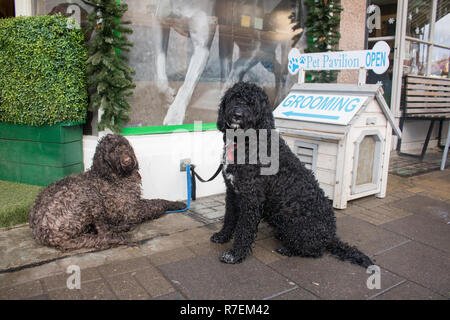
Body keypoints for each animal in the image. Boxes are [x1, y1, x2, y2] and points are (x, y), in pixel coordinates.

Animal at [29, 134, 185, 251]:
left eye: (123, 146)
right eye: (110, 152)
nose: (127, 160)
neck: (115, 175)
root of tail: (45, 234)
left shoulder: (135, 203)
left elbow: (158, 200)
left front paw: (175, 203)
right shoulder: (132, 210)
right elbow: (157, 204)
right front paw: (175, 205)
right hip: (88, 195)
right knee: (104, 230)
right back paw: (122, 229)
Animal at [211, 80, 372, 268]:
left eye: (252, 104)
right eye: (235, 97)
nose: (237, 115)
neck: (248, 143)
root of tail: (330, 237)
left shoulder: (251, 198)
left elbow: (244, 229)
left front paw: (235, 255)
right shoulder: (232, 192)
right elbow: (229, 218)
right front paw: (222, 236)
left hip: (291, 220)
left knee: (314, 250)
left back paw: (288, 249)